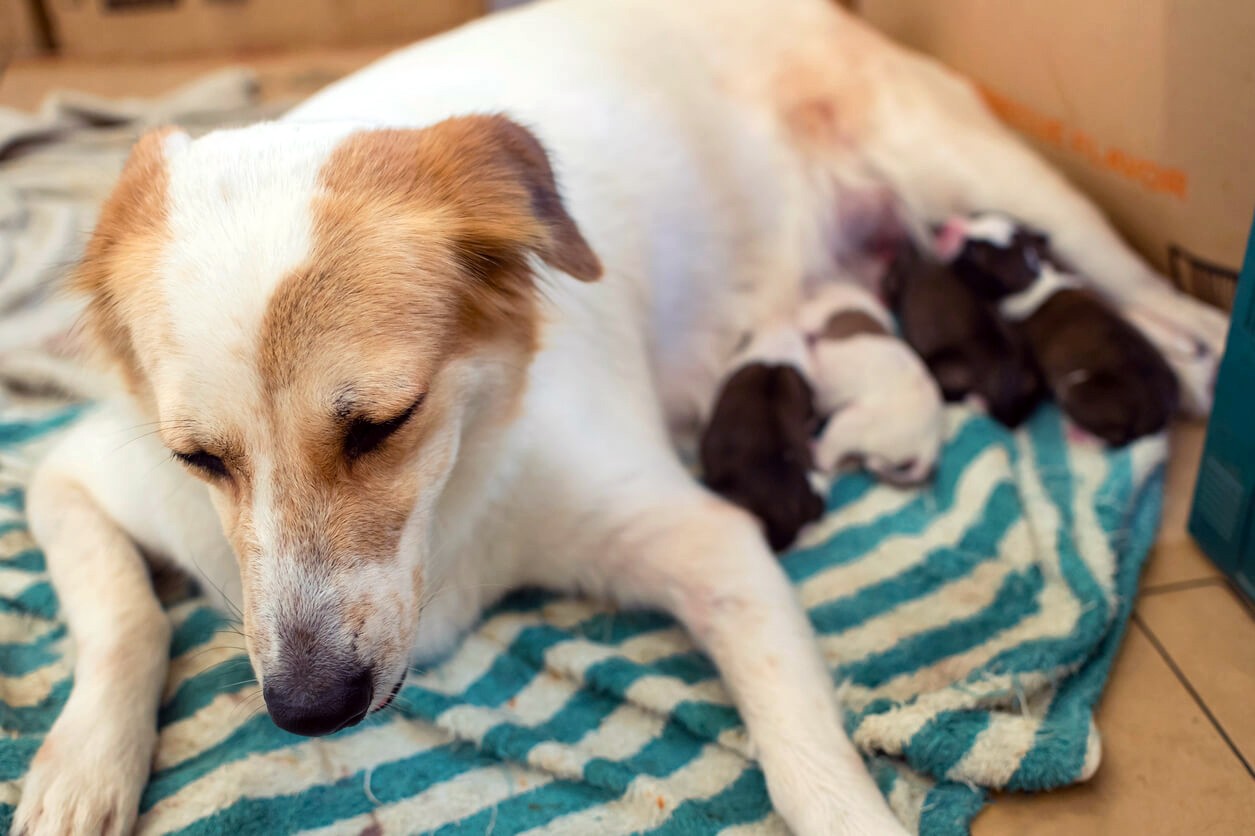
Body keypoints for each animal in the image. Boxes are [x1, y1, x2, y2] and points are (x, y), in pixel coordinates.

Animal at [798, 283, 943, 484]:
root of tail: (930, 444)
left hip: (846, 424)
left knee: (826, 460)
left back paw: (813, 447)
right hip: (878, 452)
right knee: (869, 462)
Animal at [943, 212, 1179, 446]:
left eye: (973, 252)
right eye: (977, 215)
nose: (947, 225)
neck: (1033, 279)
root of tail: (1155, 418)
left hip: (1075, 390)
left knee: (1116, 438)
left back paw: (1081, 436)